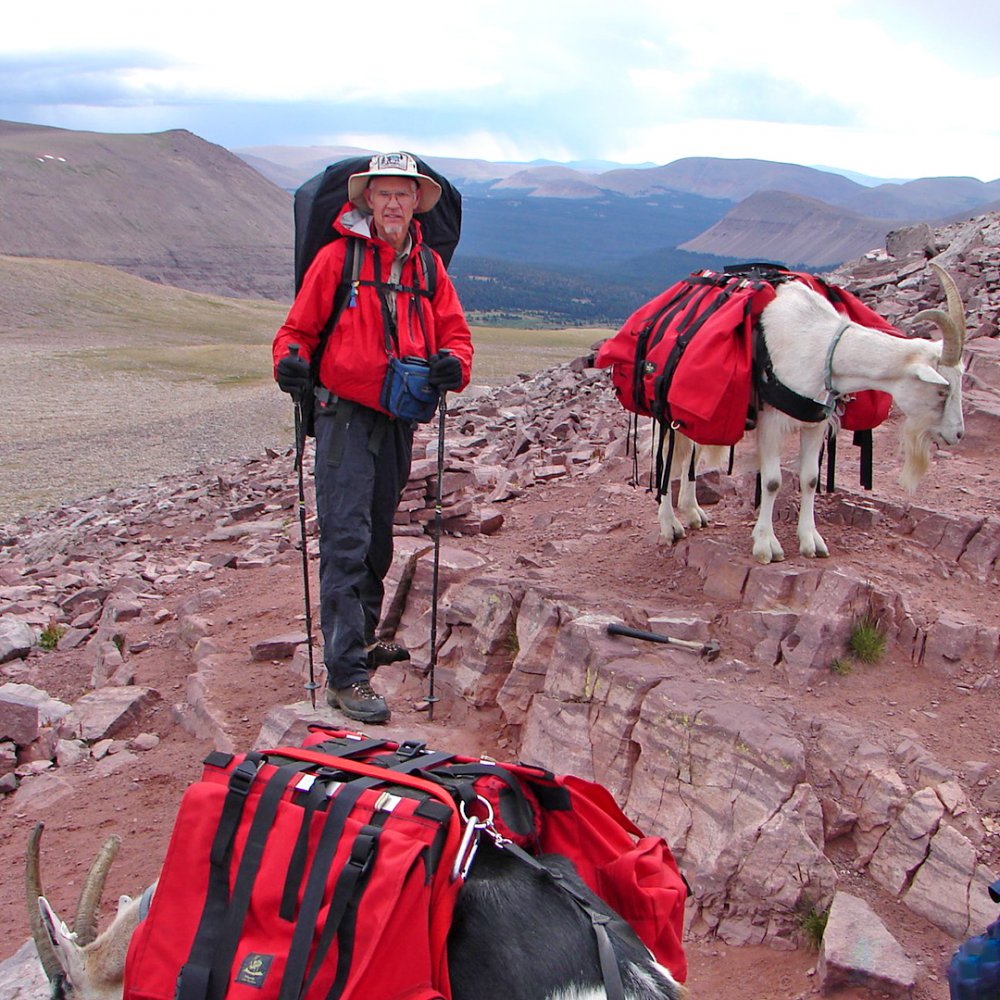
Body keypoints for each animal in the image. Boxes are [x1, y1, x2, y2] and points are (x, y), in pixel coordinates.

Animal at [660, 264, 964, 564]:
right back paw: (670, 526)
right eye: (942, 391)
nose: (958, 434)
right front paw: (766, 545)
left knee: (692, 453)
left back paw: (693, 512)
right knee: (667, 460)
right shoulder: (771, 424)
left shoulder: (815, 423)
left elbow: (810, 478)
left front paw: (810, 541)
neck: (821, 348)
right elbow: (772, 482)